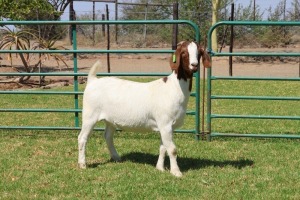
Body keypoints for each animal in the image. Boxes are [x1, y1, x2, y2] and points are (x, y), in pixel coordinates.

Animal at [77, 41, 211, 177]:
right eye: (183, 52)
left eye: (199, 52)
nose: (194, 65)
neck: (174, 87)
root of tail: (93, 81)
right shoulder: (165, 123)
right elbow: (172, 149)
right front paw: (176, 172)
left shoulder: (166, 126)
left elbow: (163, 147)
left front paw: (159, 168)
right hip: (90, 114)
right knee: (82, 138)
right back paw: (82, 164)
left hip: (110, 119)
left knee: (108, 136)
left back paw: (116, 157)